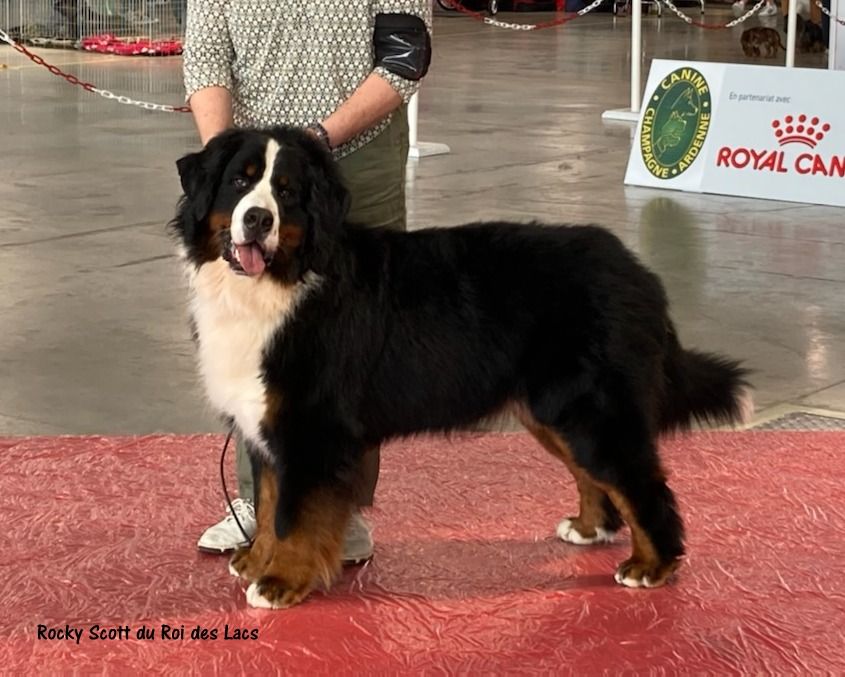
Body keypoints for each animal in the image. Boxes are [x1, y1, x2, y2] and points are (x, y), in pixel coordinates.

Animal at [168, 124, 748, 608]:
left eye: (287, 192)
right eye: (239, 183)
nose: (258, 218)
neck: (279, 285)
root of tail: (637, 271)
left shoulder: (311, 428)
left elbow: (292, 516)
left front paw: (281, 582)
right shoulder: (267, 424)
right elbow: (268, 505)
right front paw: (255, 560)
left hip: (591, 409)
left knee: (641, 484)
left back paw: (652, 565)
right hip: (552, 411)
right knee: (595, 476)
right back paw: (589, 528)